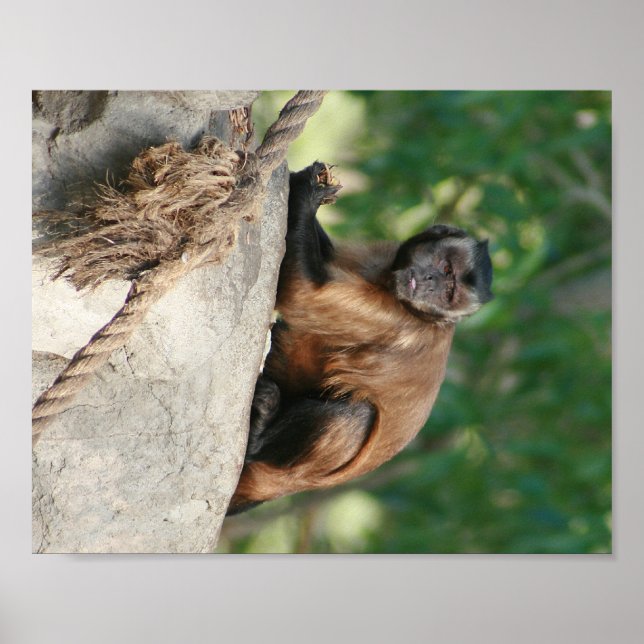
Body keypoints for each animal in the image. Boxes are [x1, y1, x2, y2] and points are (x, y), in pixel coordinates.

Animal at [227, 162, 493, 515]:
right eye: (446, 269)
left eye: (449, 293)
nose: (430, 282)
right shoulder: (381, 254)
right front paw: (306, 182)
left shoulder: (397, 319)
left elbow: (302, 293)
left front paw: (308, 195)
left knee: (359, 414)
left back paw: (257, 437)